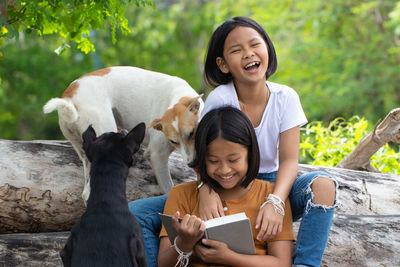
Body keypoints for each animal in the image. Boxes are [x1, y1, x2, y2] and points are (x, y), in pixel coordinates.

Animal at [43, 67, 203, 203]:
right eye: (173, 141)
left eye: (192, 133)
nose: (191, 163)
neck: (176, 96)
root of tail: (69, 97)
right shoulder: (157, 155)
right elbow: (170, 189)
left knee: (87, 193)